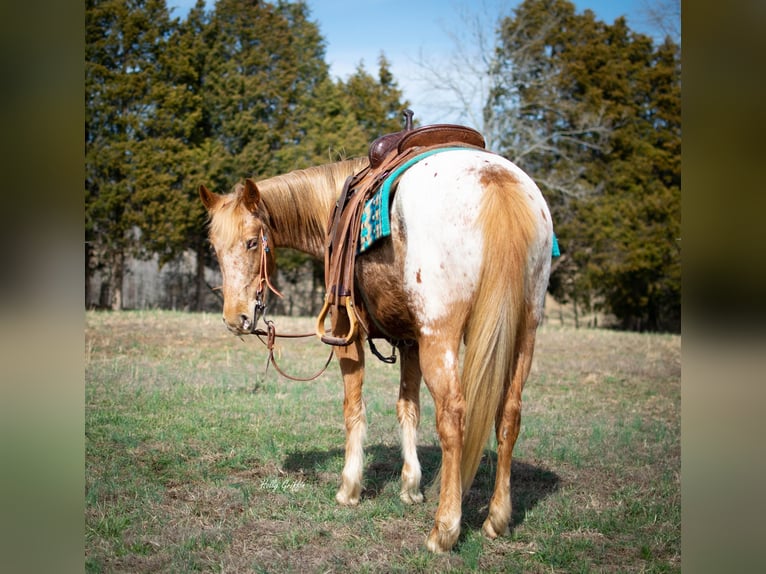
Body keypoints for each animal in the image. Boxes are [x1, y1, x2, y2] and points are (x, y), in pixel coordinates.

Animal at [201, 148, 556, 552]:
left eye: (250, 242)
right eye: (213, 247)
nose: (236, 318)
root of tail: (496, 182)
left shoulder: (346, 333)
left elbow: (354, 409)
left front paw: (349, 488)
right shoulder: (411, 341)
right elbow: (408, 409)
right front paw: (411, 487)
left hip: (441, 336)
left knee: (453, 418)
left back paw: (445, 529)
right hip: (524, 332)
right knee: (509, 415)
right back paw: (497, 518)